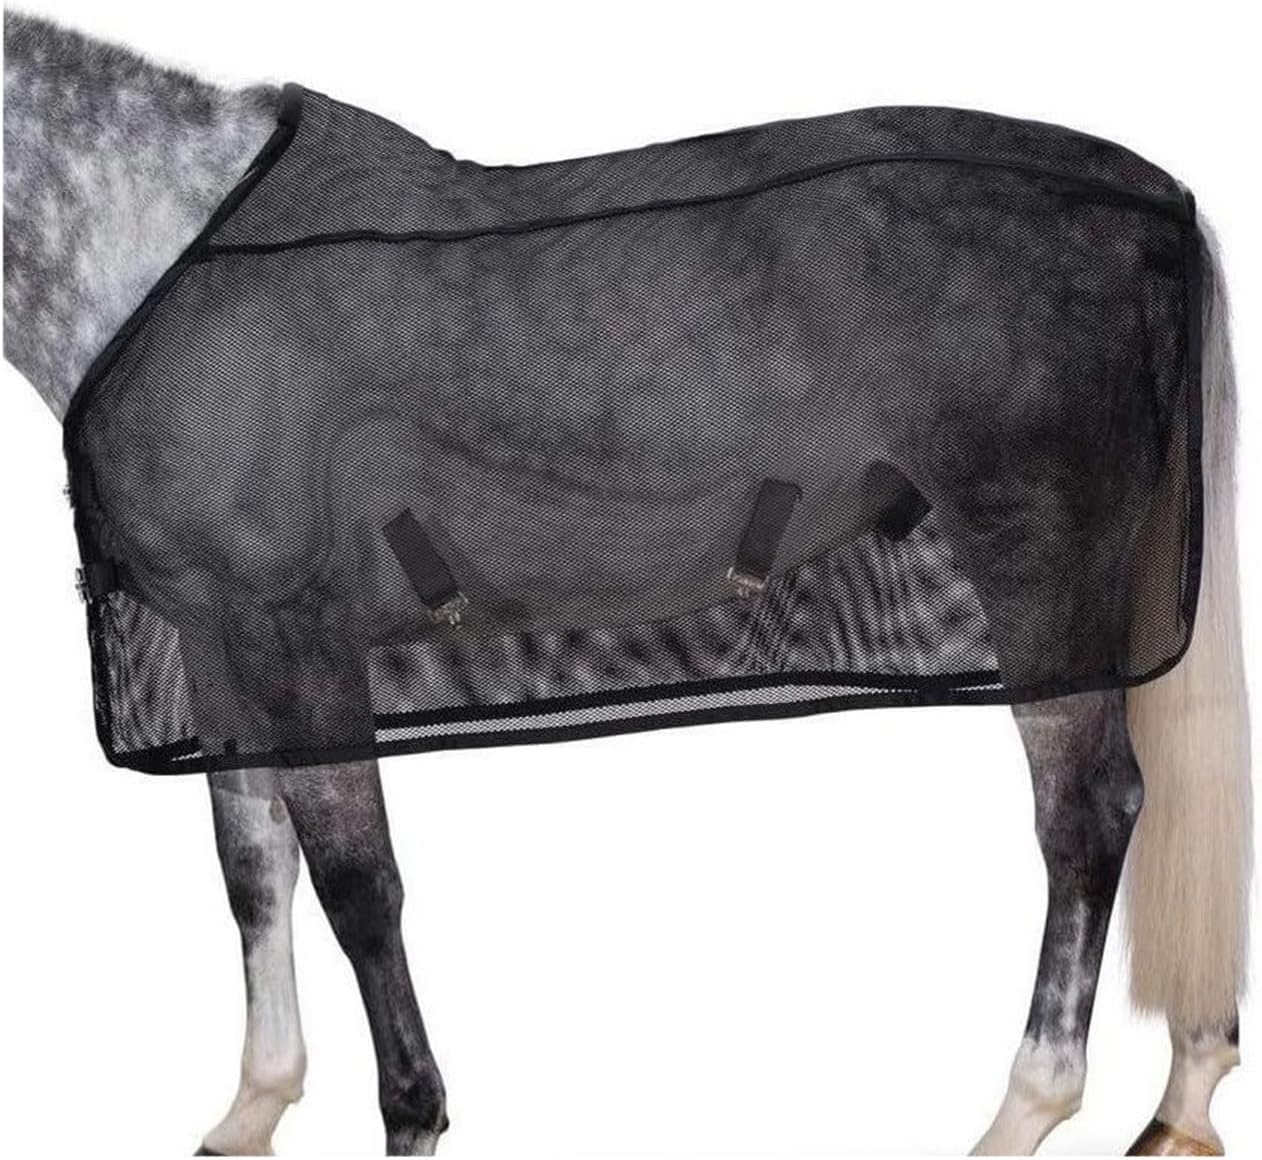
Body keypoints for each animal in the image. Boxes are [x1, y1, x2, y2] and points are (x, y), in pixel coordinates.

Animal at [2, 11, 1250, 1156]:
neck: (161, 246)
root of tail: (1153, 202)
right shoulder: (216, 639)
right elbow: (253, 864)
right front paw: (254, 1104)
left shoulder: (296, 630)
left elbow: (357, 882)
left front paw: (409, 1113)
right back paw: (1182, 1096)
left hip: (1037, 562)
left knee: (1085, 810)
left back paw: (1022, 1109)